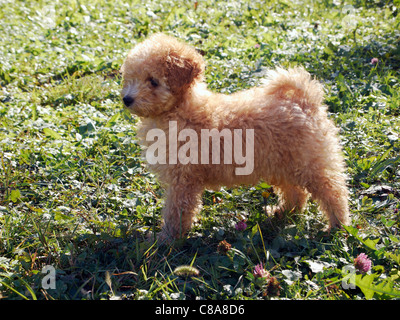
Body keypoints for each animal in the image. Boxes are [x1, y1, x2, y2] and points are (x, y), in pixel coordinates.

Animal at [119, 33, 350, 242]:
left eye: (153, 81)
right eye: (129, 78)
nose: (127, 99)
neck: (179, 110)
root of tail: (303, 99)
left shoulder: (182, 180)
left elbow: (175, 212)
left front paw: (166, 240)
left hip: (311, 162)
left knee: (333, 191)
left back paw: (337, 226)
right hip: (283, 163)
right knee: (296, 192)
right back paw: (284, 213)